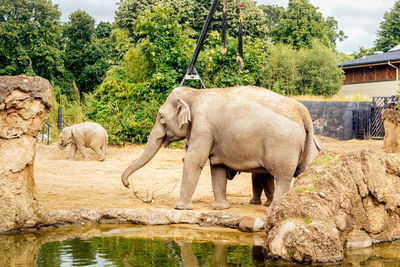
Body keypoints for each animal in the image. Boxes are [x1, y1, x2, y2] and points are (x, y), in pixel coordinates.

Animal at [121, 87, 322, 210]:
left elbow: (194, 160)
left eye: (161, 117)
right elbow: (217, 167)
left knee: (282, 177)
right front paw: (220, 208)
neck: (195, 93)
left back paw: (273, 208)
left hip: (282, 145)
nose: (129, 185)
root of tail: (304, 113)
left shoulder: (203, 127)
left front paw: (181, 208)